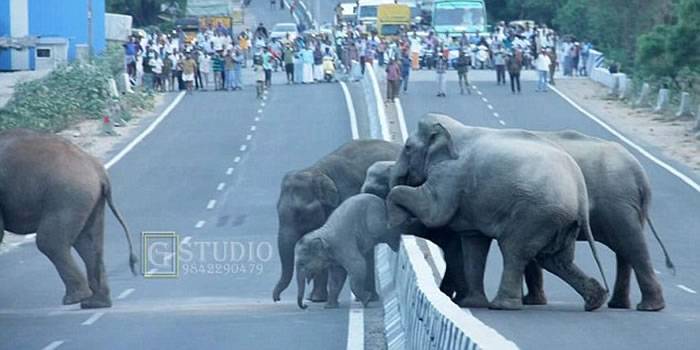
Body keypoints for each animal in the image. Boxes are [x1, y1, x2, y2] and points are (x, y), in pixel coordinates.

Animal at [0, 129, 137, 308]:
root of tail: (98, 169)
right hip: (89, 199)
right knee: (89, 243)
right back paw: (95, 303)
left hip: (67, 196)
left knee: (49, 242)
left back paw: (76, 299)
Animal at [274, 139, 404, 304]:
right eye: (277, 210)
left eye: (302, 215)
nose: (277, 298)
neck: (319, 170)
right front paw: (316, 299)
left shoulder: (350, 195)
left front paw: (368, 297)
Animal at [386, 113, 608, 310]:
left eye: (407, 148)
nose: (398, 227)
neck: (455, 129)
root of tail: (580, 193)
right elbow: (473, 240)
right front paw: (471, 304)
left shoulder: (450, 175)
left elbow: (434, 212)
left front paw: (395, 218)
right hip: (562, 221)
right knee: (555, 259)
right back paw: (595, 301)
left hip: (535, 215)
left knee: (515, 251)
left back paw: (503, 306)